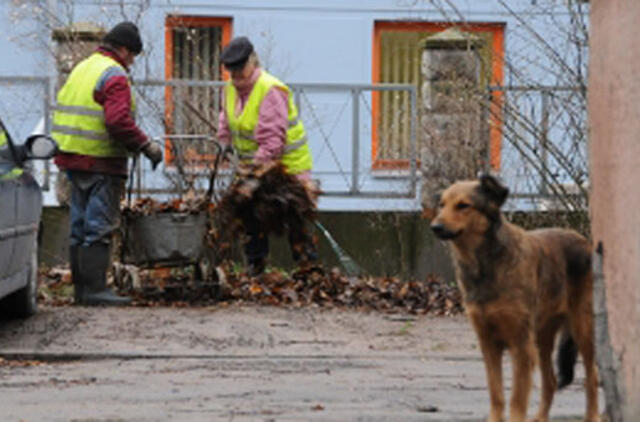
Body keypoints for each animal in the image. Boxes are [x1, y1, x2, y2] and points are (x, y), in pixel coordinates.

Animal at [430, 174, 600, 422]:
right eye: (441, 205)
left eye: (463, 206)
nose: (435, 227)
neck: (485, 263)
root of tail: (583, 241)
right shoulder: (488, 342)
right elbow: (497, 393)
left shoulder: (520, 344)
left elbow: (517, 397)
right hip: (541, 337)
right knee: (550, 381)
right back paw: (540, 417)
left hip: (582, 328)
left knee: (592, 377)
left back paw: (592, 415)